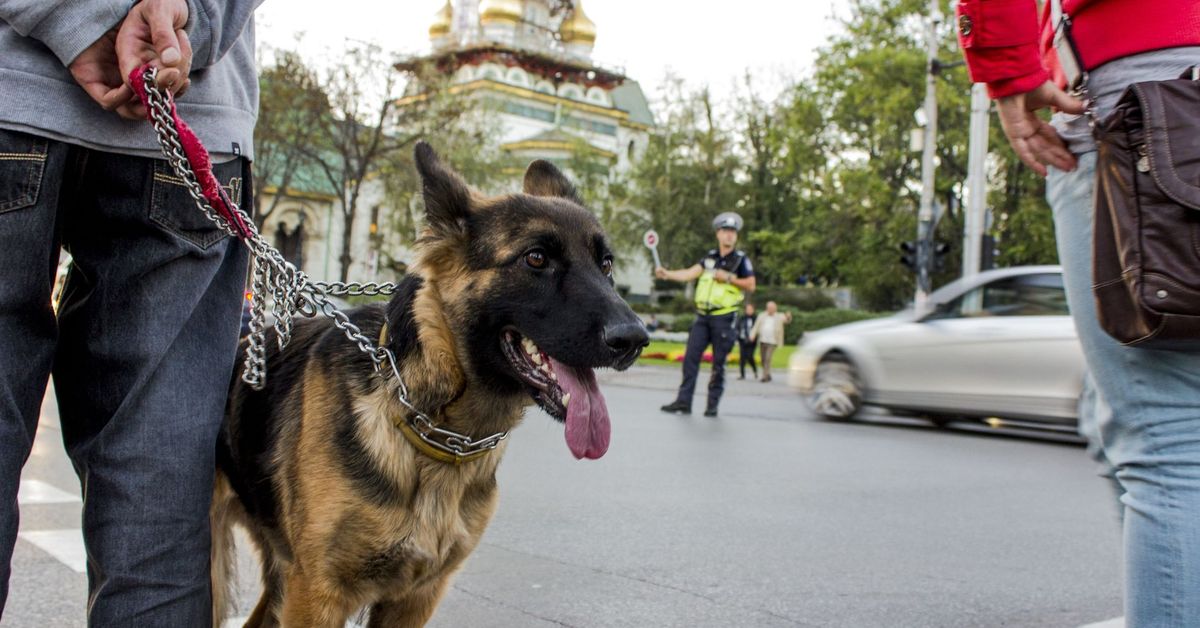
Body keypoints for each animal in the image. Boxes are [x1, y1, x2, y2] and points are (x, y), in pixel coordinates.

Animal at [211, 143, 652, 628]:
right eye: (536, 258)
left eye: (606, 264)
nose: (635, 339)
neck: (431, 429)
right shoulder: (317, 597)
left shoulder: (414, 599)